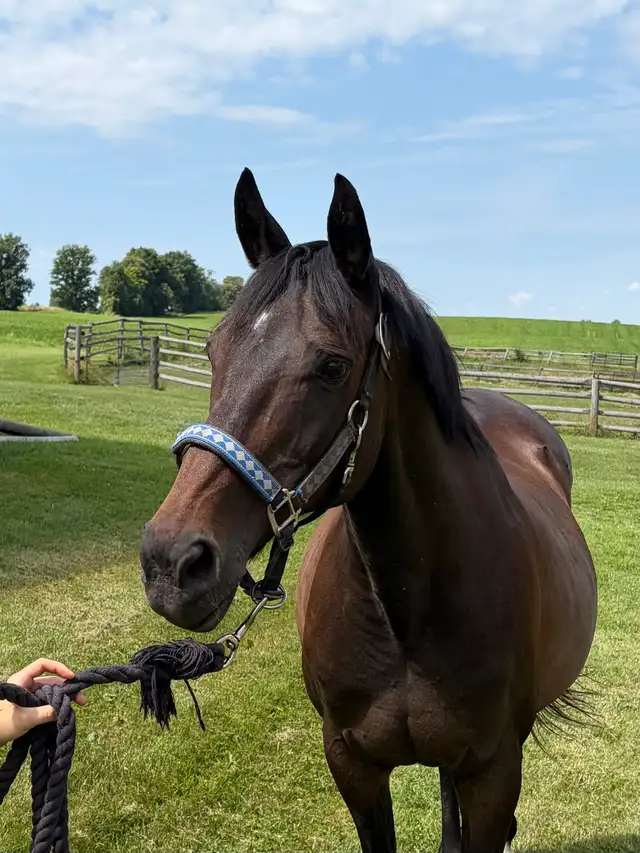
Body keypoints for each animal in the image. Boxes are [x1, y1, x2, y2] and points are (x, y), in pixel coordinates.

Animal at [140, 168, 597, 853]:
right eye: (215, 350)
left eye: (332, 365)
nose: (172, 563)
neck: (406, 611)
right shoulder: (351, 763)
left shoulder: (493, 775)